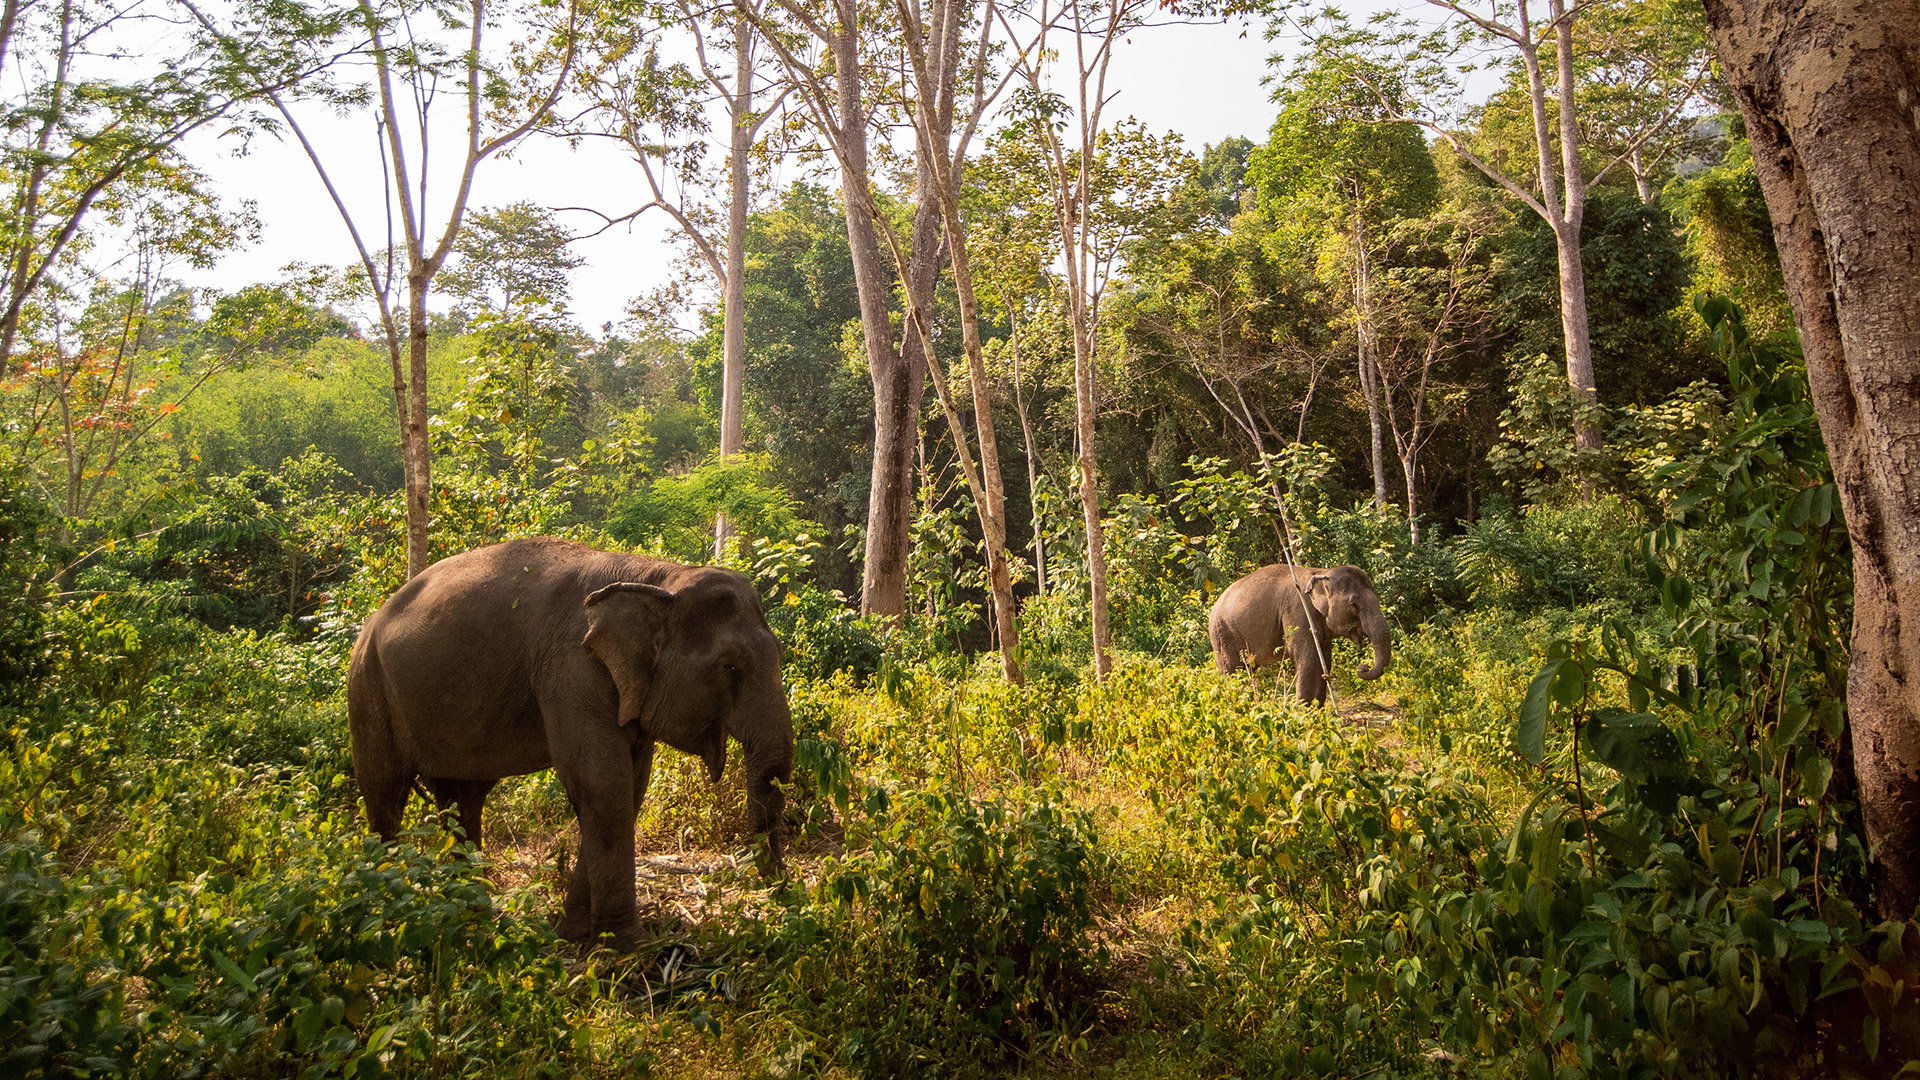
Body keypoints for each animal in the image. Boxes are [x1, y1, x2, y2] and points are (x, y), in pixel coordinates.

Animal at [346, 537, 793, 948]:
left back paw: (472, 916)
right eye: (729, 667)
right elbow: (602, 782)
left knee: (462, 801)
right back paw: (389, 911)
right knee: (386, 795)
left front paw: (573, 934)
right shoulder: (571, 665)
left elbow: (631, 786)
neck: (657, 577)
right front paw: (625, 948)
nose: (784, 896)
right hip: (368, 688)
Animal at [1208, 563, 1391, 705]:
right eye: (1354, 605)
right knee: (1232, 669)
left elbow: (1324, 659)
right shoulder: (1299, 613)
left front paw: (1317, 709)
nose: (1363, 667)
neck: (1320, 572)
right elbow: (1307, 659)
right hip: (1222, 634)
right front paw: (1304, 710)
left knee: (1249, 669)